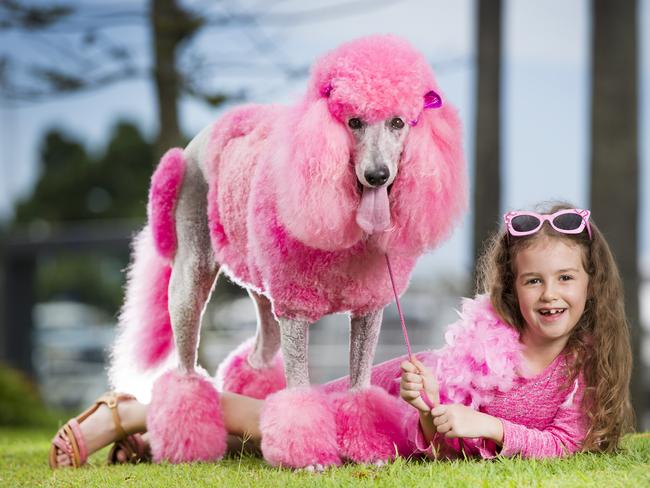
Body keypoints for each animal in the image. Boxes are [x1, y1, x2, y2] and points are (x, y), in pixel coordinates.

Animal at [110, 35, 466, 468]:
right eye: (353, 122)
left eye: (398, 122)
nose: (377, 175)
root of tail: (190, 146)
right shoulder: (295, 308)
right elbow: (297, 391)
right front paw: (309, 454)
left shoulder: (369, 307)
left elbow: (359, 386)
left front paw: (369, 447)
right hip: (192, 272)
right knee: (184, 367)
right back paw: (187, 441)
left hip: (262, 285)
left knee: (258, 356)